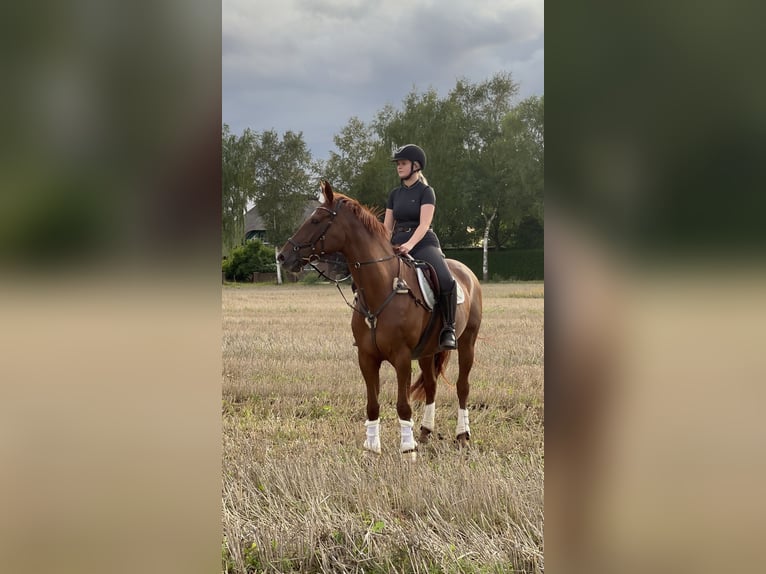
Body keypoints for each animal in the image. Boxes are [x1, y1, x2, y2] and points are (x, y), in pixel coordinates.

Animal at [280, 182, 484, 462]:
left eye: (316, 220)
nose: (282, 256)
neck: (382, 287)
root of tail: (467, 273)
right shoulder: (367, 357)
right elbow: (372, 404)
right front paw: (372, 448)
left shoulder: (401, 358)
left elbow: (403, 405)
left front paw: (407, 450)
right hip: (427, 352)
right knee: (431, 387)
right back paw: (425, 432)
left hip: (467, 343)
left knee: (463, 386)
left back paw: (462, 436)